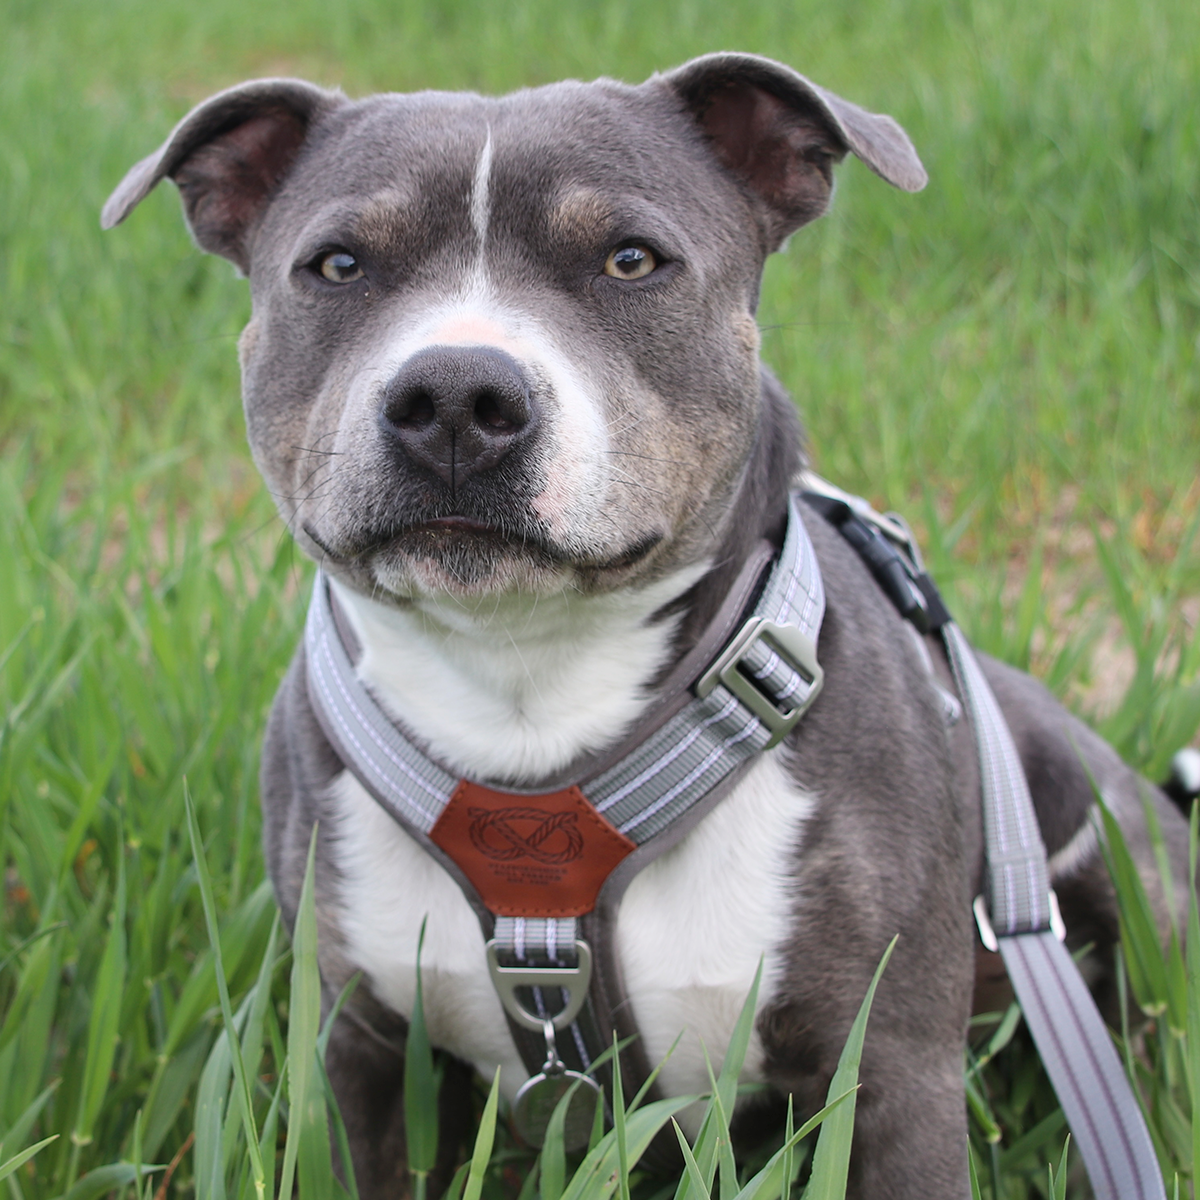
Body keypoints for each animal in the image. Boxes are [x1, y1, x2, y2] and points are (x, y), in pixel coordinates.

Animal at [108, 51, 1195, 1195]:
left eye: (631, 260)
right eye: (338, 264)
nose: (454, 394)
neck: (523, 682)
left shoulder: (893, 1075)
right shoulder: (353, 1051)